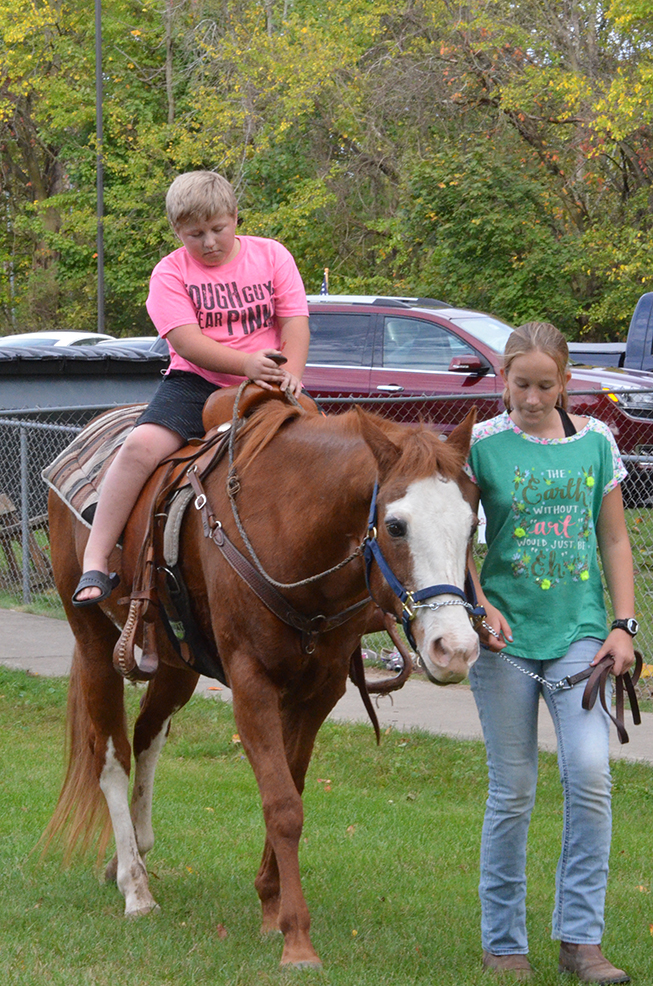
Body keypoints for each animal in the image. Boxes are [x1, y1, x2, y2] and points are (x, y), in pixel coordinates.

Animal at [43, 388, 476, 964]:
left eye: (472, 525)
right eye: (396, 525)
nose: (456, 649)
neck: (289, 529)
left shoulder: (319, 691)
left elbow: (291, 788)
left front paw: (271, 906)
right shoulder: (251, 686)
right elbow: (282, 804)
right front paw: (297, 938)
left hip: (176, 667)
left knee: (146, 737)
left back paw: (130, 855)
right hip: (94, 645)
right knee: (111, 757)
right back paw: (135, 887)